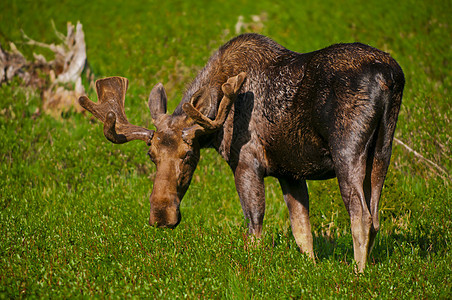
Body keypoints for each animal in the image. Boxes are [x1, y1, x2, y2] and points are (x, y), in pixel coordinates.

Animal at [78, 33, 406, 272]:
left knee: (360, 214)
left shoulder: (247, 163)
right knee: (376, 215)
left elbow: (254, 227)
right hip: (383, 150)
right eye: (151, 156)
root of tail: (389, 76)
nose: (161, 215)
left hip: (347, 149)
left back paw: (357, 273)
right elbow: (303, 232)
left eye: (188, 155)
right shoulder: (290, 172)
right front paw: (311, 269)